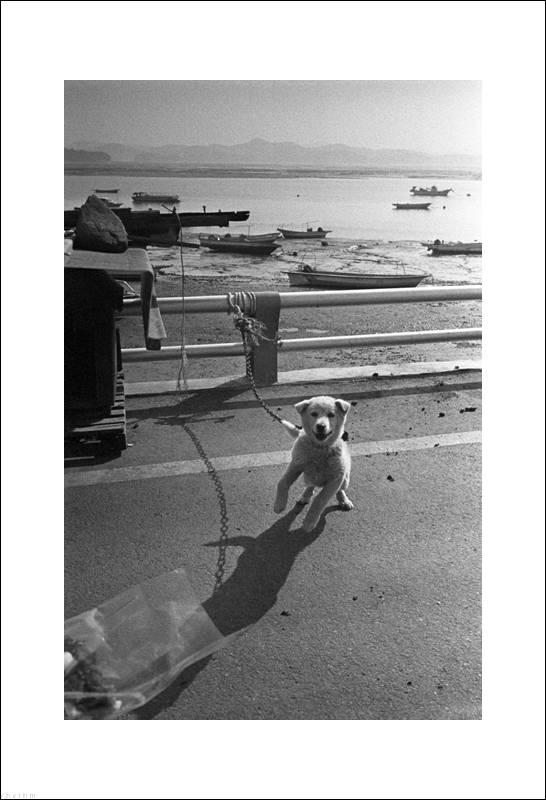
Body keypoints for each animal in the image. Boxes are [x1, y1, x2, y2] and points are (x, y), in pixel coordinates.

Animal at [273, 395, 353, 532]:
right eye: (313, 414)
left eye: (331, 415)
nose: (321, 426)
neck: (319, 448)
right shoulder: (295, 465)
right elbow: (282, 482)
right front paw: (279, 504)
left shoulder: (335, 479)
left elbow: (319, 500)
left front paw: (309, 522)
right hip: (308, 475)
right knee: (310, 486)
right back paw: (305, 496)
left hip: (345, 479)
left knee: (340, 489)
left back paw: (344, 500)